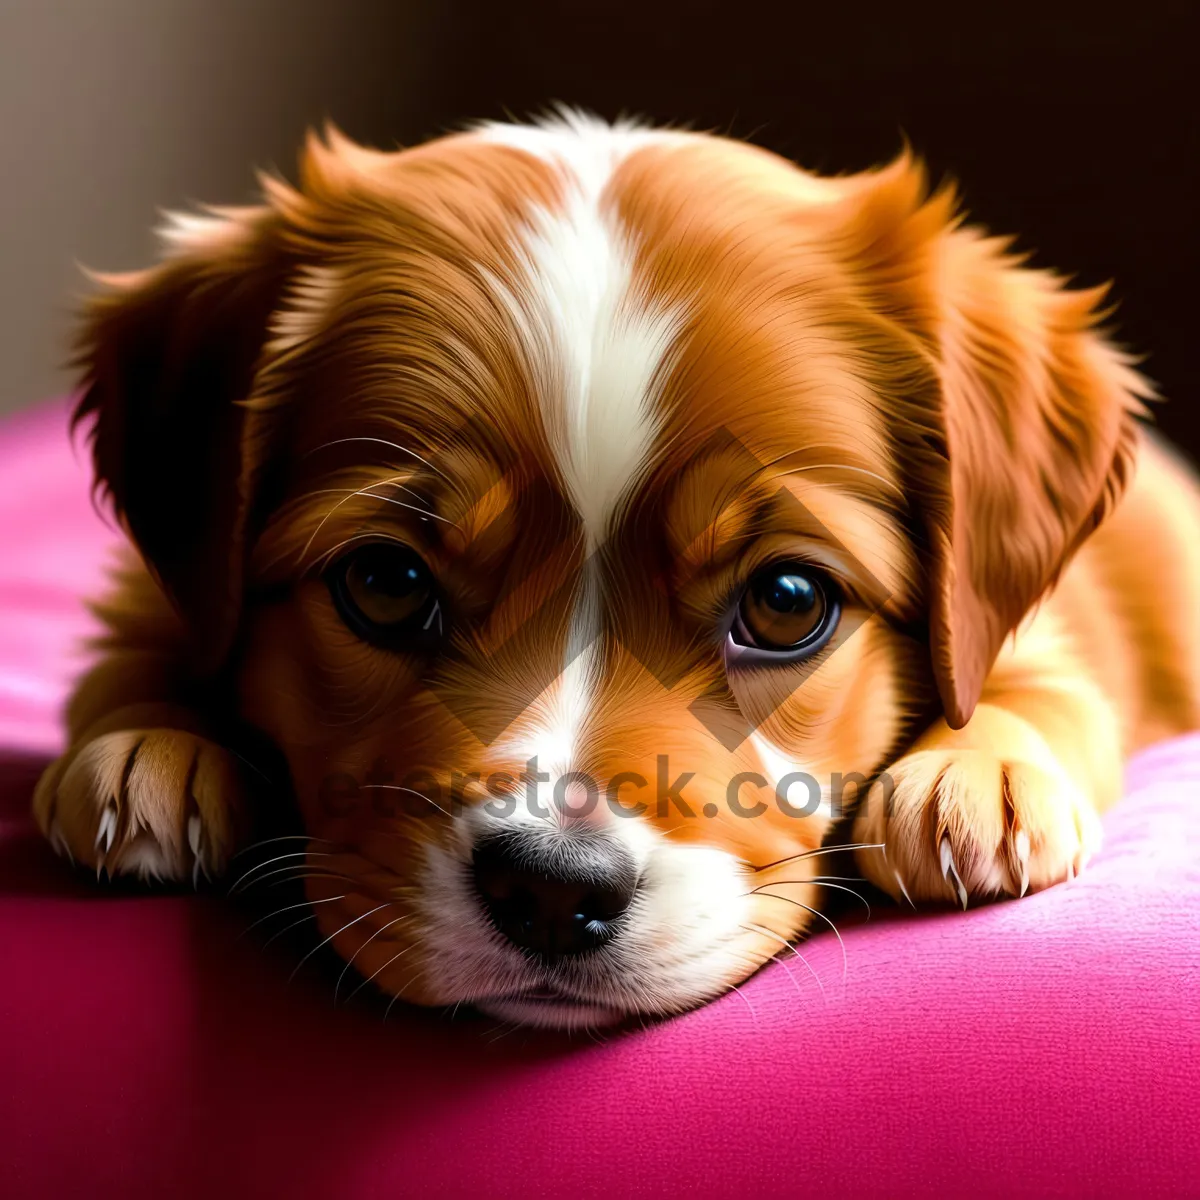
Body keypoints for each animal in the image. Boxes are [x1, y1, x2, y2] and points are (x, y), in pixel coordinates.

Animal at [32, 112, 1200, 1027]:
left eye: (787, 603)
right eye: (386, 585)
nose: (551, 892)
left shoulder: (1050, 629)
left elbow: (1045, 686)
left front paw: (977, 777)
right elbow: (134, 653)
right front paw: (147, 745)